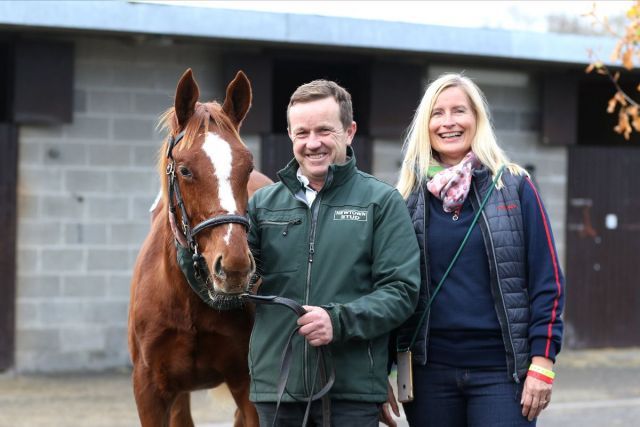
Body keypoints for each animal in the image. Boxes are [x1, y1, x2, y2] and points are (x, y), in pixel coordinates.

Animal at [129, 68, 272, 426]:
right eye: (184, 170)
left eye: (248, 167)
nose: (234, 267)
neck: (189, 297)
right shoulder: (150, 389)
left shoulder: (248, 387)